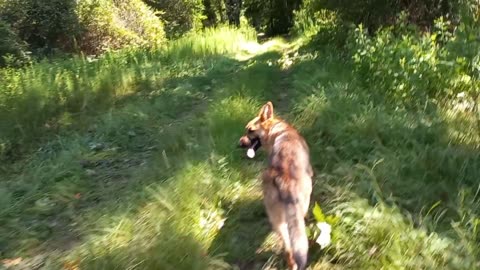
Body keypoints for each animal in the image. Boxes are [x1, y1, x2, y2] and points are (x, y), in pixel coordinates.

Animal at [238, 102, 314, 270]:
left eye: (250, 130)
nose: (238, 144)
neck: (278, 130)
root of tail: (282, 177)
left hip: (278, 223)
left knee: (288, 249)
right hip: (299, 208)